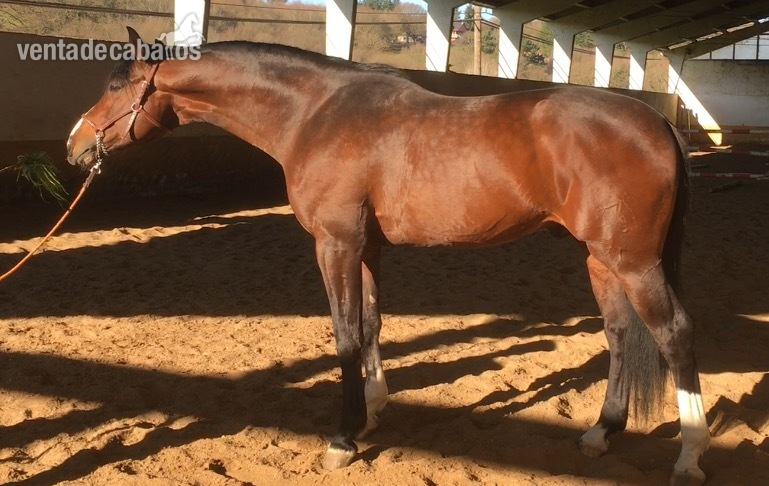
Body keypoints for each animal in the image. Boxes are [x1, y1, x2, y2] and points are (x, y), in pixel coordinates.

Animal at [66, 27, 710, 485]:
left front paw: (342, 439)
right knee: (621, 334)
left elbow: (346, 336)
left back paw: (690, 457)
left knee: (676, 333)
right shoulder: (366, 248)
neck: (314, 114)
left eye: (118, 85)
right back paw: (602, 433)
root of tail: (655, 119)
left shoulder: (335, 244)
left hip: (633, 261)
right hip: (601, 258)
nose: (75, 146)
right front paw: (374, 413)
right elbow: (373, 325)